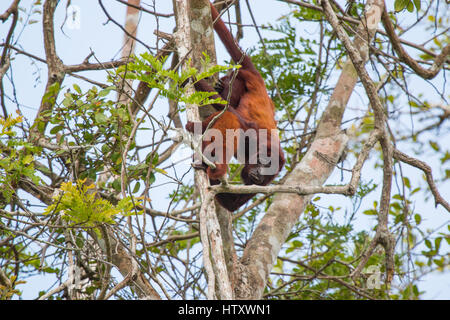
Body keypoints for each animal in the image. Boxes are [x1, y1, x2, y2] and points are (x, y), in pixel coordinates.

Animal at [185, 3, 284, 212]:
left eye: (268, 174)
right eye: (265, 163)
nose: (260, 175)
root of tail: (260, 80)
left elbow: (231, 204)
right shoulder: (256, 135)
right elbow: (233, 118)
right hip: (243, 77)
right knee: (229, 107)